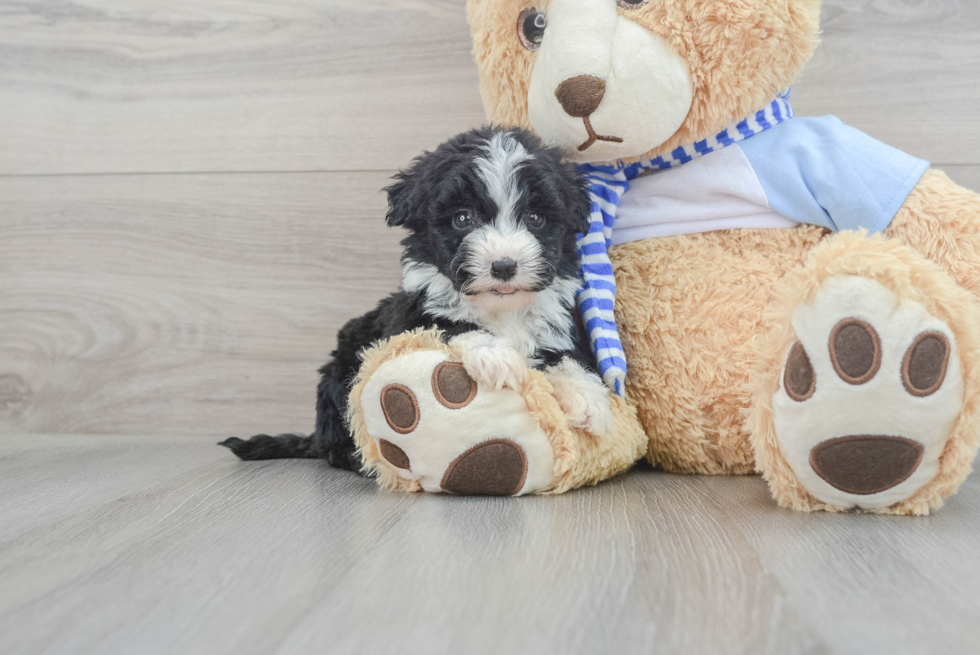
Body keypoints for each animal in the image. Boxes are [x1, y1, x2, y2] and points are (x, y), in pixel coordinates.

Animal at [222, 125, 612, 472]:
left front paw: (589, 399)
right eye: (462, 218)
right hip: (340, 372)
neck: (501, 310)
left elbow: (568, 357)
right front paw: (496, 356)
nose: (504, 265)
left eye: (534, 218)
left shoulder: (556, 325)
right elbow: (449, 324)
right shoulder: (409, 318)